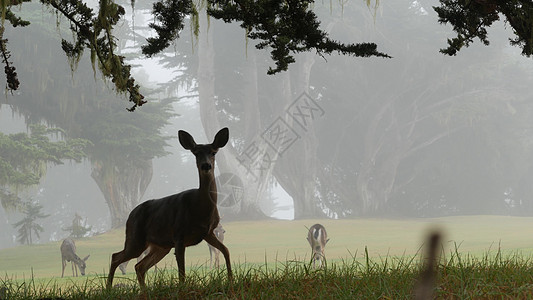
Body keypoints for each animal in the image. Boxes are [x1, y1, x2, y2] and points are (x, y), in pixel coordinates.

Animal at [107, 127, 232, 290]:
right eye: (196, 152)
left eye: (213, 152)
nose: (206, 166)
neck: (200, 208)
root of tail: (130, 216)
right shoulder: (178, 234)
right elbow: (182, 271)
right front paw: (182, 289)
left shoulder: (208, 232)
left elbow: (226, 250)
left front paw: (231, 280)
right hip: (135, 238)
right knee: (116, 257)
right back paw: (108, 289)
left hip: (160, 246)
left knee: (139, 266)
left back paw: (144, 291)